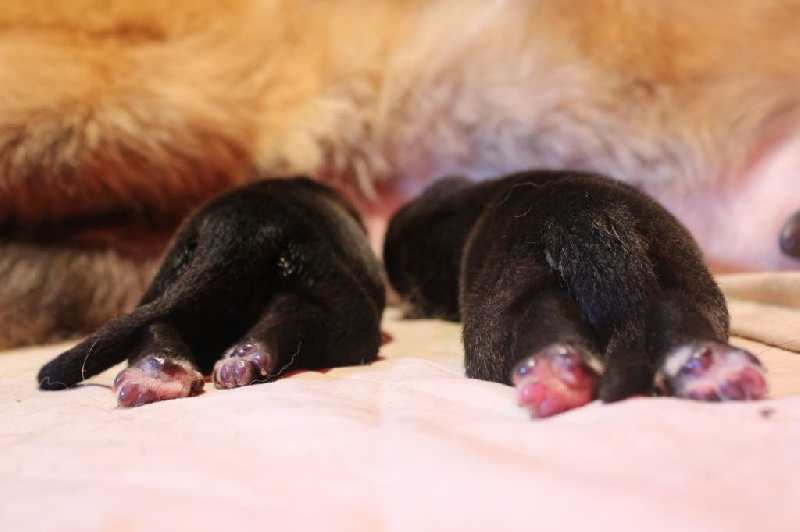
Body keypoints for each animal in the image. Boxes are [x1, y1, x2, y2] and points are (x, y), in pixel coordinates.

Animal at [384, 172, 772, 418]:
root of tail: (579, 206)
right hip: (690, 283)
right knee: (678, 313)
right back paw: (718, 371)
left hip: (496, 315)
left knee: (538, 319)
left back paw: (554, 378)